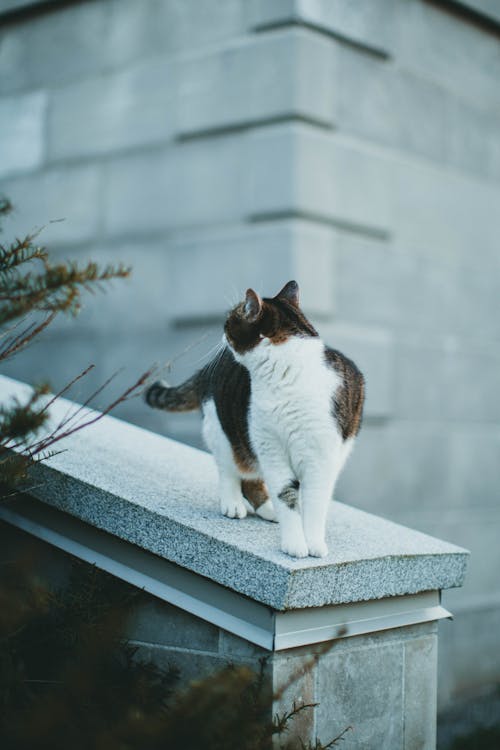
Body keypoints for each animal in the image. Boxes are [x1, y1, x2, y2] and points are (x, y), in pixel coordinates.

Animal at [145, 282, 364, 560]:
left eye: (229, 322)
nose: (221, 333)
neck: (289, 374)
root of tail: (209, 368)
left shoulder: (321, 458)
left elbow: (315, 502)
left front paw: (313, 543)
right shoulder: (271, 448)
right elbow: (285, 495)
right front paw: (294, 544)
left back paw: (268, 510)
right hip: (227, 431)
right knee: (231, 469)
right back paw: (234, 504)